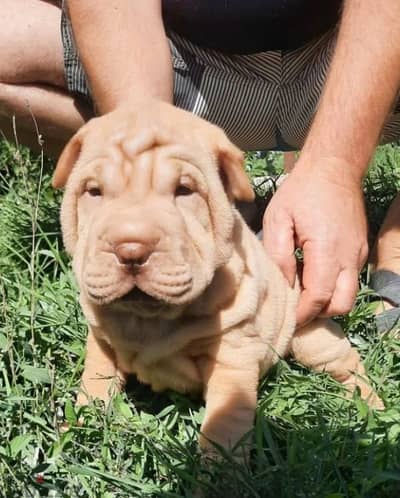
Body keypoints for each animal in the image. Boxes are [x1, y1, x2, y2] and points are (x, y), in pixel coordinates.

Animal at [51, 101, 382, 460]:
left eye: (184, 190)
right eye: (94, 191)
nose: (131, 249)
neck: (148, 319)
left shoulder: (232, 356)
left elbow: (225, 423)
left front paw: (219, 469)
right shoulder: (101, 340)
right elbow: (95, 383)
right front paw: (78, 430)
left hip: (311, 334)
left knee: (346, 364)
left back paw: (372, 406)